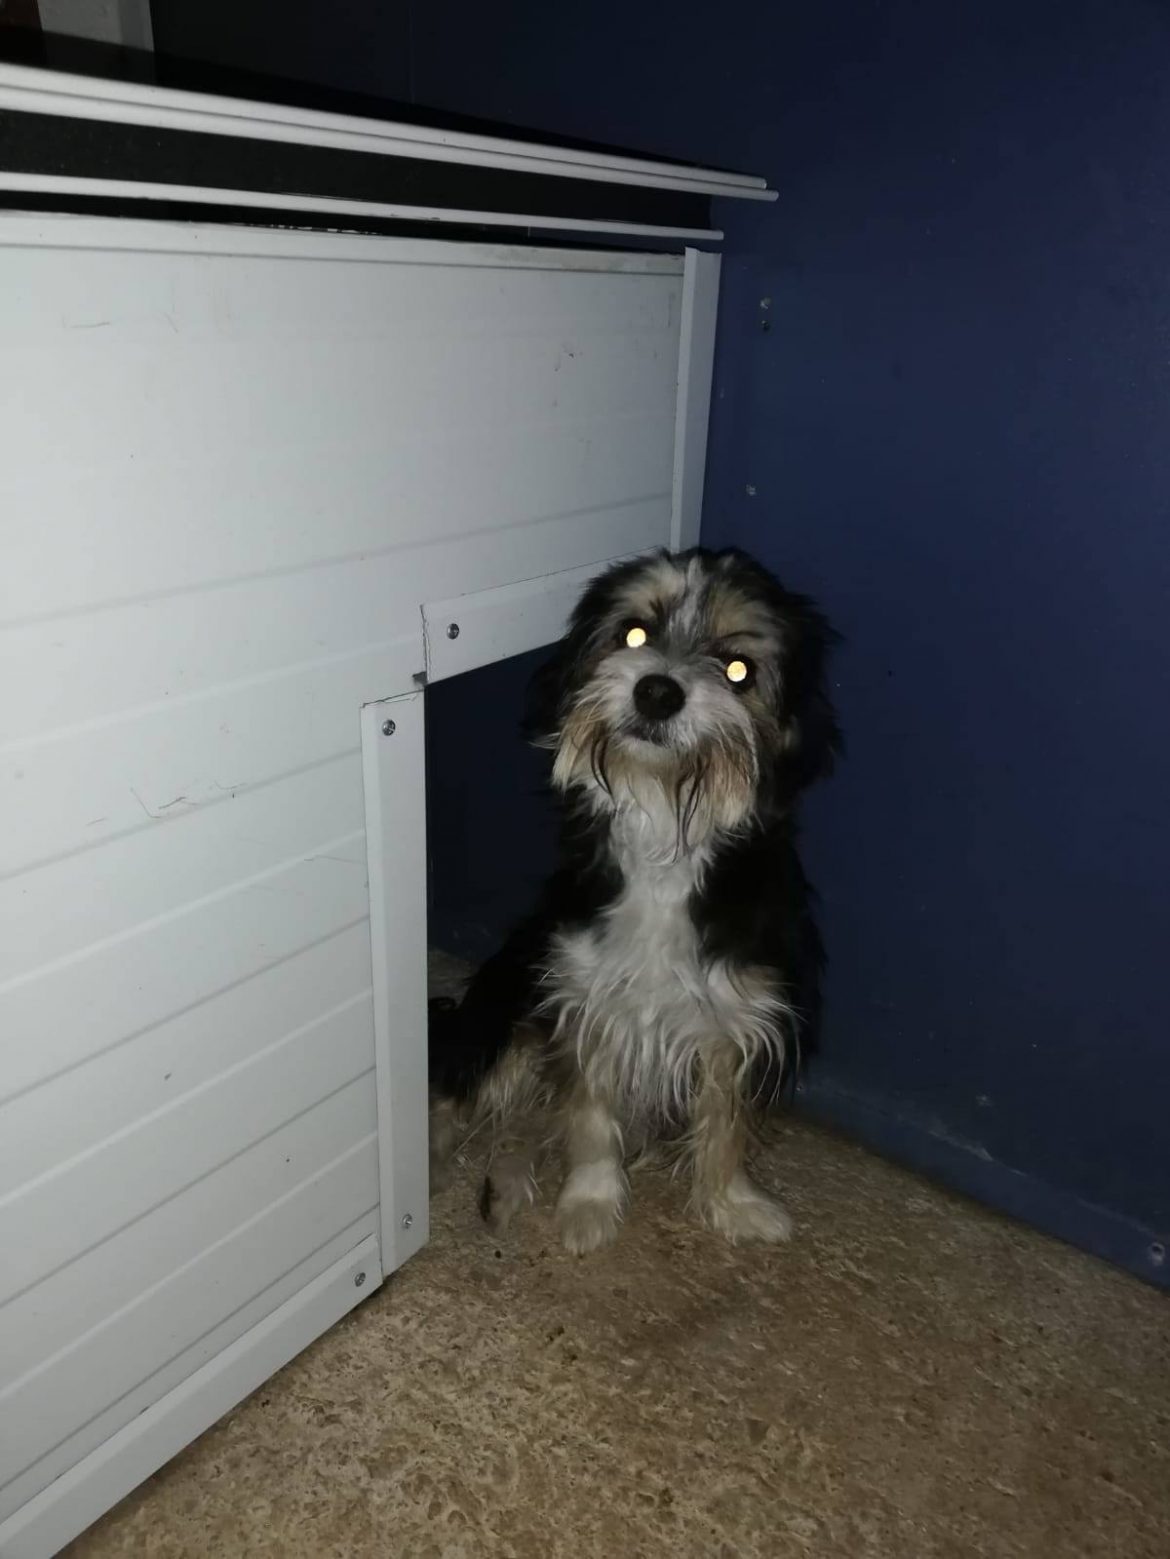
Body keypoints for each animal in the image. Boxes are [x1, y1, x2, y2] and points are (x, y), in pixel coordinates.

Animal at [428, 546, 841, 1253]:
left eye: (738, 669)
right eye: (634, 634)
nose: (657, 690)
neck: (662, 828)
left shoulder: (733, 1016)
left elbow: (725, 1125)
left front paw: (731, 1205)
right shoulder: (586, 1000)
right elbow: (591, 1117)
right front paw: (589, 1204)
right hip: (507, 1013)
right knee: (456, 1091)